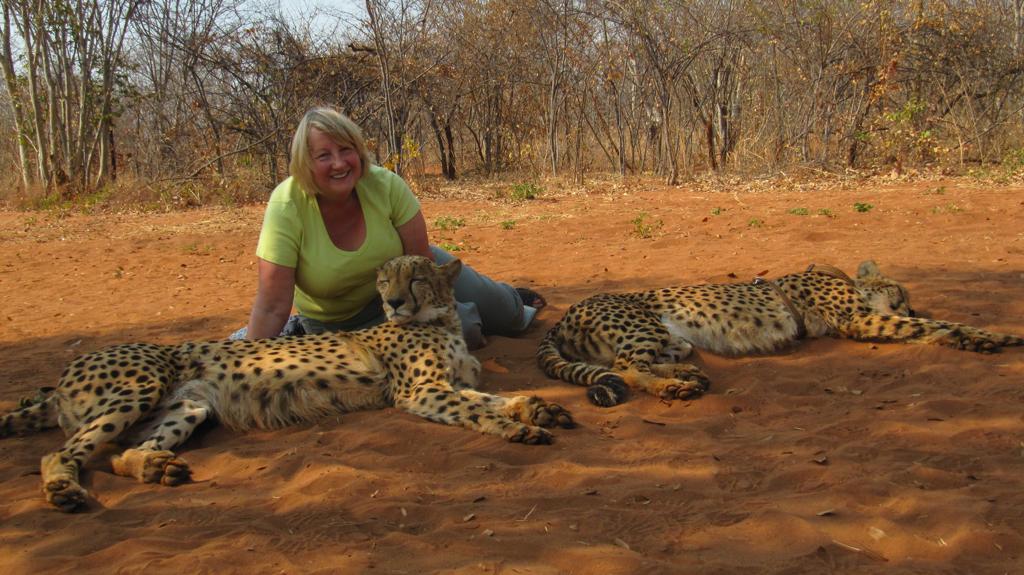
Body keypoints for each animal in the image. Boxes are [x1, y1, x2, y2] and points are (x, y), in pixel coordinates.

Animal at [0, 254, 573, 509]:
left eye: (415, 277)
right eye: (383, 280)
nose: (393, 302)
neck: (440, 319)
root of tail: (64, 373)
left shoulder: (445, 384)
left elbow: (492, 395)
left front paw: (535, 407)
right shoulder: (422, 392)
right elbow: (476, 408)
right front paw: (521, 428)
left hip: (187, 407)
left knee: (124, 453)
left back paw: (156, 467)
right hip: (140, 387)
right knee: (61, 453)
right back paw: (63, 489)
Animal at [540, 261, 1019, 405]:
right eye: (901, 292)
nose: (912, 303)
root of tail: (564, 316)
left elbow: (928, 329)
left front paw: (973, 337)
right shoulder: (861, 321)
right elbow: (929, 326)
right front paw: (992, 336)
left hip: (674, 339)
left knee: (639, 363)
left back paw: (686, 378)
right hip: (643, 327)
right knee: (625, 367)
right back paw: (675, 388)